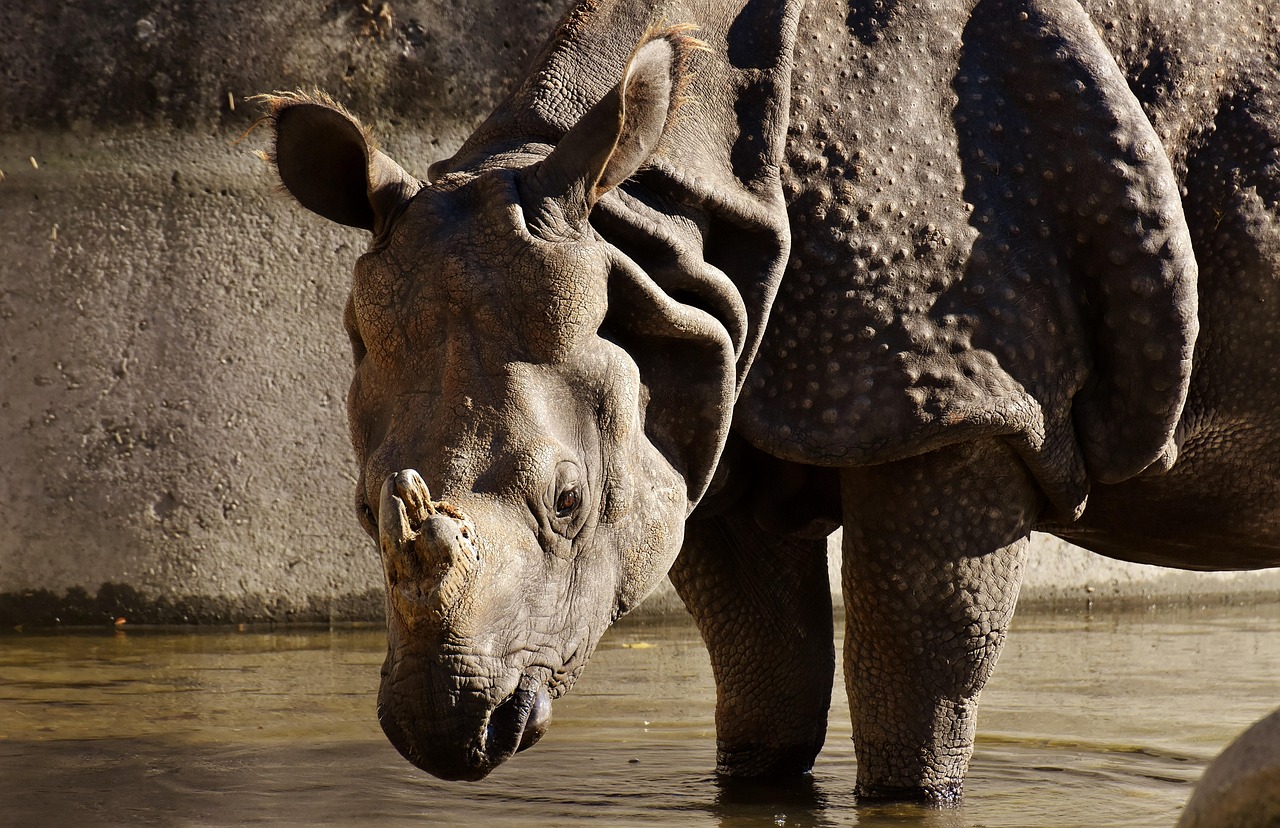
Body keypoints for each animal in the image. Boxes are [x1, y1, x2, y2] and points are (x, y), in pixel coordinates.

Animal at [262, 0, 1280, 802]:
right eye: (364, 511)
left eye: (568, 503)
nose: (444, 730)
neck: (653, 232)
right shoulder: (702, 394)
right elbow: (764, 675)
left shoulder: (964, 402)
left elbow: (921, 678)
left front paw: (917, 786)